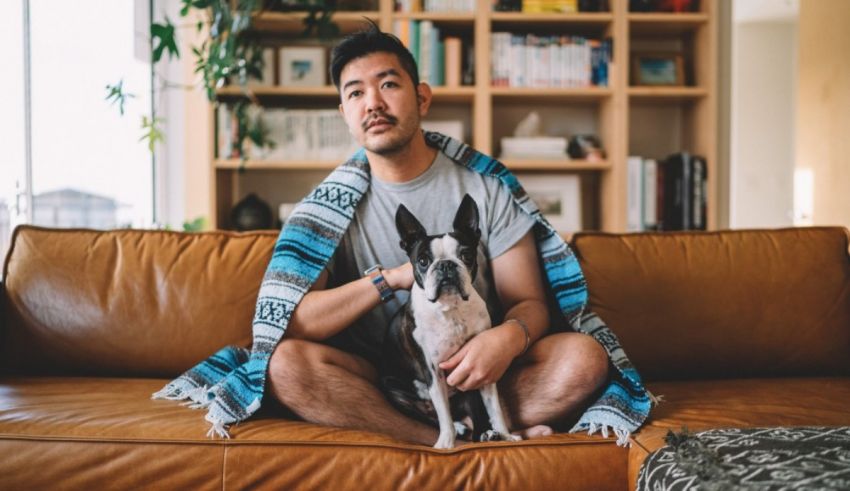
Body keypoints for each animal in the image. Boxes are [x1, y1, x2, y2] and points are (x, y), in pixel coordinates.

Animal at [380, 194, 520, 448]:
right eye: (423, 261)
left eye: (466, 255)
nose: (445, 264)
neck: (451, 308)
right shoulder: (433, 371)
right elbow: (443, 415)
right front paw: (445, 444)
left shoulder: (483, 366)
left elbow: (494, 408)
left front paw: (505, 435)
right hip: (396, 393)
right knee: (430, 415)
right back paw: (459, 428)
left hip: (468, 384)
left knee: (475, 413)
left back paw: (487, 434)